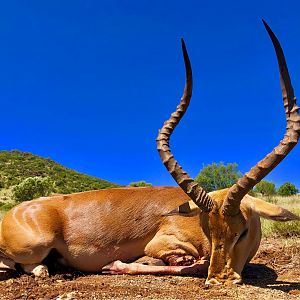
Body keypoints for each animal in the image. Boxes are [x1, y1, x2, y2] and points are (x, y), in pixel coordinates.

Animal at [0, 20, 298, 284]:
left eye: (243, 230)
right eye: (206, 229)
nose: (219, 280)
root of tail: (14, 213)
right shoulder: (164, 244)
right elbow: (188, 263)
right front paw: (119, 264)